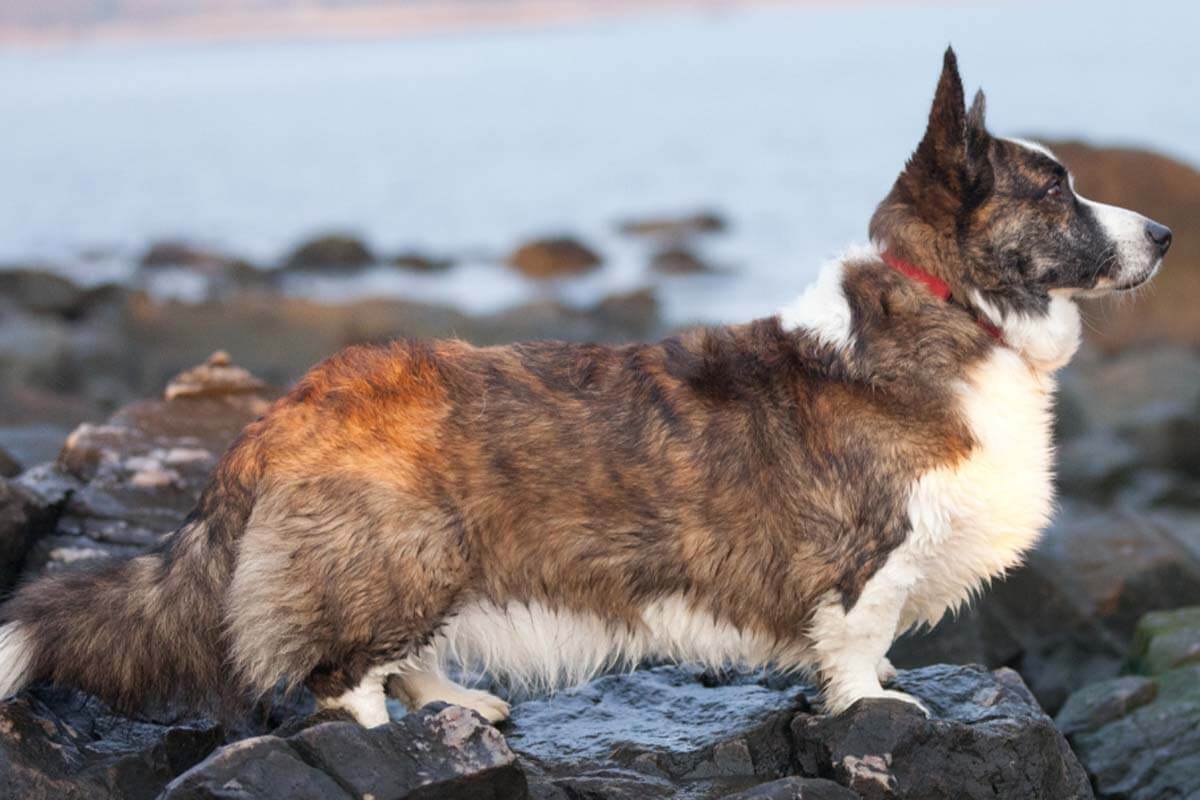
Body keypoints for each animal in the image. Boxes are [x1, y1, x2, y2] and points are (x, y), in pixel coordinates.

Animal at [0, 50, 1166, 724]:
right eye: (1054, 188)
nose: (1162, 233)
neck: (950, 309)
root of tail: (288, 405)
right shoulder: (868, 561)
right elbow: (858, 648)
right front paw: (877, 706)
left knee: (405, 660)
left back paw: (461, 704)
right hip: (405, 558)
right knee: (342, 679)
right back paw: (386, 743)